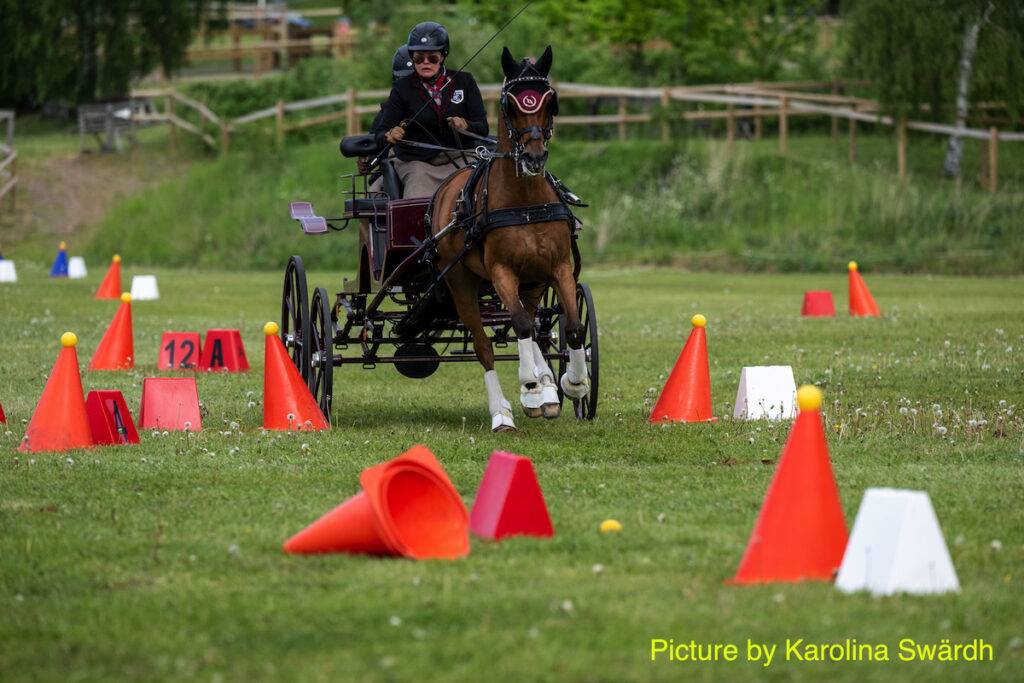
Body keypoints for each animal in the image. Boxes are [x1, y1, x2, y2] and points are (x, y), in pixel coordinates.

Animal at [430, 46, 590, 432]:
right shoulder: (501, 271)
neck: (524, 202)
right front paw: (530, 384)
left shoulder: (559, 267)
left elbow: (573, 327)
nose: (534, 156)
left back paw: (547, 389)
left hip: (532, 281)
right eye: (509, 104)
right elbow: (517, 324)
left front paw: (571, 383)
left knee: (534, 326)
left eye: (551, 101)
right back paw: (503, 411)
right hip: (462, 282)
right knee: (486, 345)